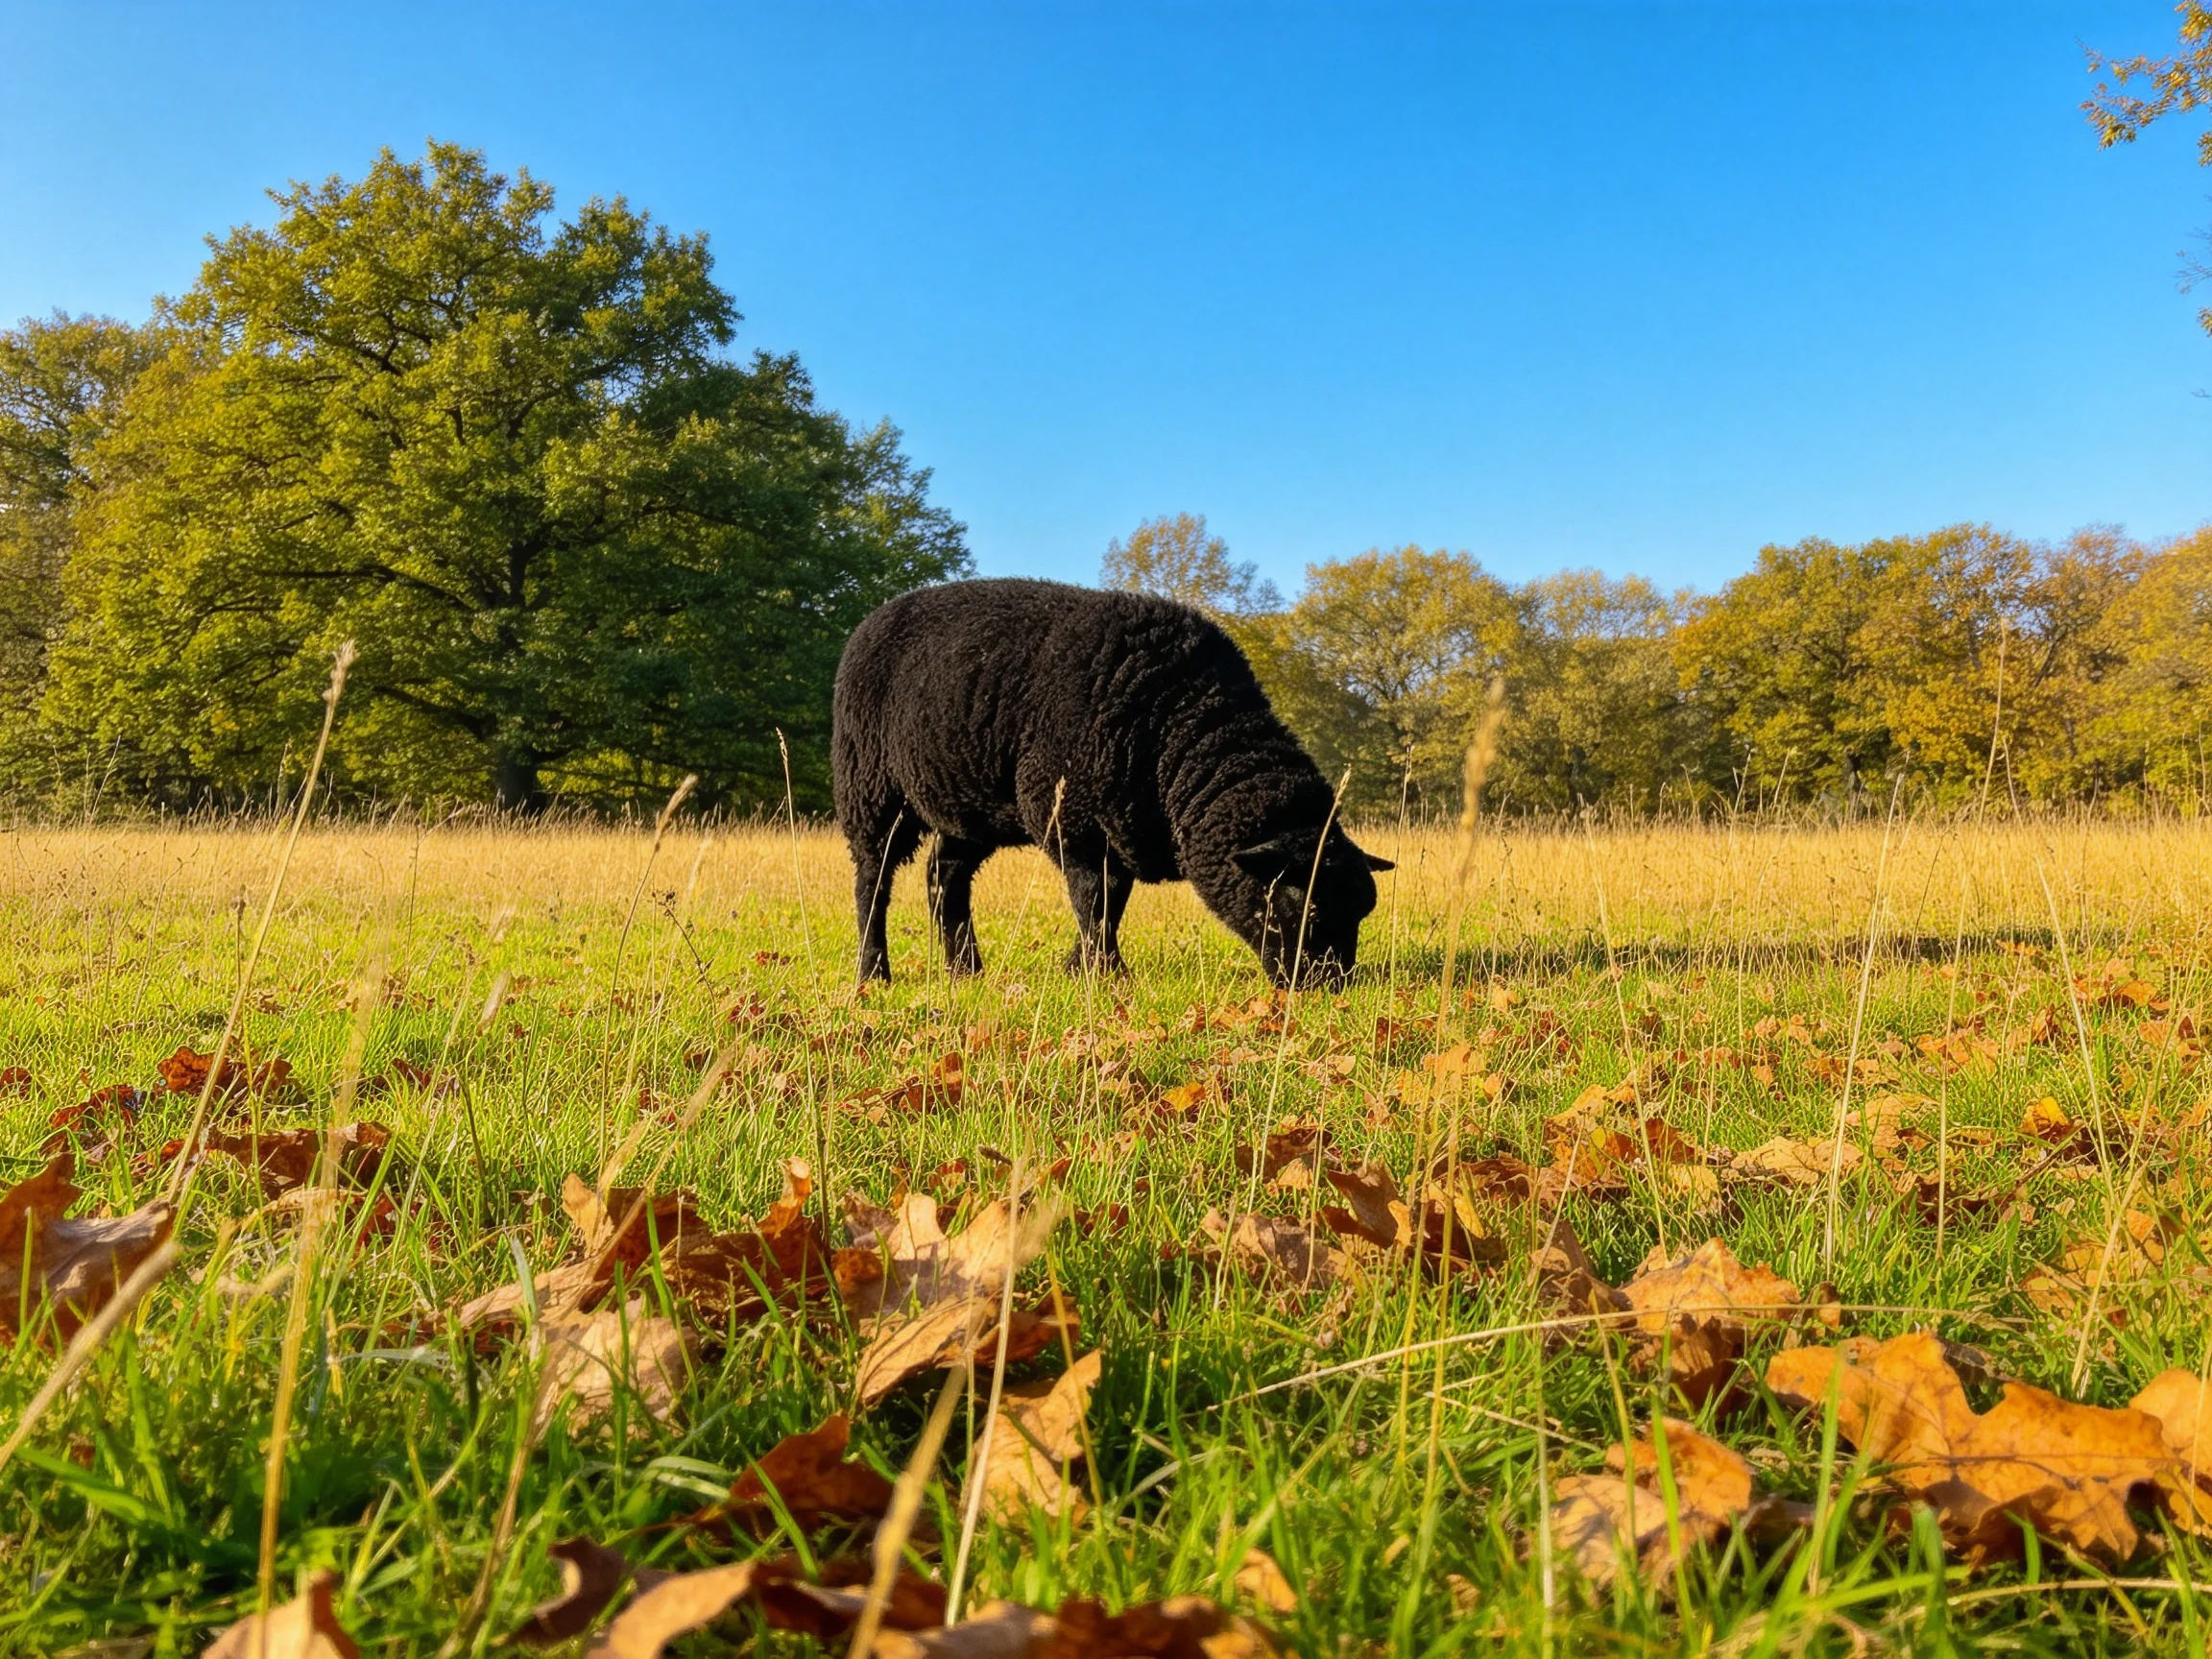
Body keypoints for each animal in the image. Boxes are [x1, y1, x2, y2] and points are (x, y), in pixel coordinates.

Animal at [831, 577, 1391, 985]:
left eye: (1362, 913)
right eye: (1310, 909)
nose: (1332, 986)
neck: (1181, 724)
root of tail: (874, 617)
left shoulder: (1119, 827)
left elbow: (1112, 901)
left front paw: (1080, 968)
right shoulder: (1072, 819)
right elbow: (1094, 899)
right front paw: (1106, 974)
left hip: (969, 804)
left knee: (943, 876)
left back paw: (965, 970)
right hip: (871, 788)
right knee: (872, 883)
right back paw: (873, 972)